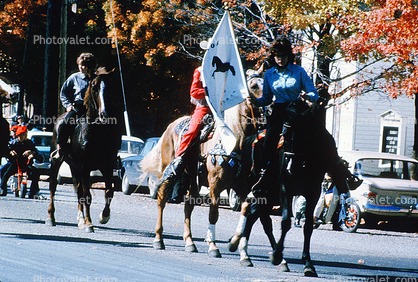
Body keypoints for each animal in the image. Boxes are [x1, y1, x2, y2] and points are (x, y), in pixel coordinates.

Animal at [45, 69, 121, 232]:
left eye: (110, 87)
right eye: (94, 87)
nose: (104, 114)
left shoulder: (107, 166)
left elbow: (108, 192)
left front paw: (103, 216)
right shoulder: (85, 167)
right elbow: (87, 195)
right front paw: (89, 224)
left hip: (74, 167)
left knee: (78, 191)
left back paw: (80, 219)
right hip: (57, 162)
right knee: (53, 187)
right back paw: (50, 218)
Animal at [142, 81, 262, 256]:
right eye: (254, 86)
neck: (233, 141)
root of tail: (170, 127)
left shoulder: (240, 185)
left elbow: (245, 207)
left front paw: (234, 242)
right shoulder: (215, 186)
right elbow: (213, 214)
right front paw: (213, 246)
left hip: (192, 179)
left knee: (188, 205)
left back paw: (190, 242)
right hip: (169, 173)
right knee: (162, 200)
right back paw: (158, 239)